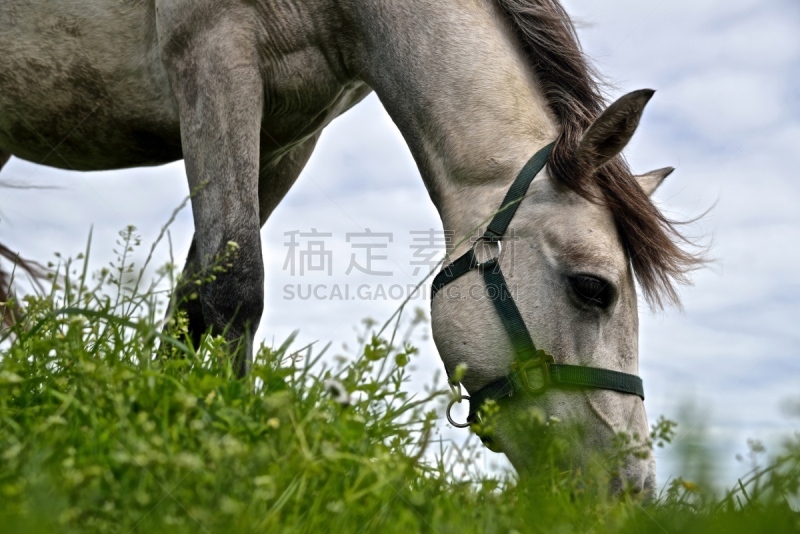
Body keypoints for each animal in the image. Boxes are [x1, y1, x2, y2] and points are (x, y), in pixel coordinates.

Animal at [0, 1, 700, 494]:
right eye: (593, 289)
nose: (631, 489)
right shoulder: (211, 57)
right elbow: (234, 288)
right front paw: (220, 448)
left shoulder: (285, 137)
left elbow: (192, 296)